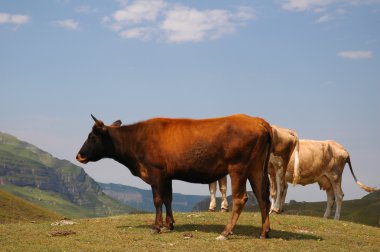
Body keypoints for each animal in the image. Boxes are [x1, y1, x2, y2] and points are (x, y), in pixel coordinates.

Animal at [76, 113, 274, 239]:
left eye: (92, 137)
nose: (79, 156)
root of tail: (258, 121)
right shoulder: (167, 176)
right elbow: (168, 198)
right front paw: (169, 224)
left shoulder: (155, 172)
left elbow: (157, 200)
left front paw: (156, 227)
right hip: (256, 168)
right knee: (262, 197)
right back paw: (264, 232)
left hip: (238, 168)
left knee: (241, 198)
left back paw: (225, 232)